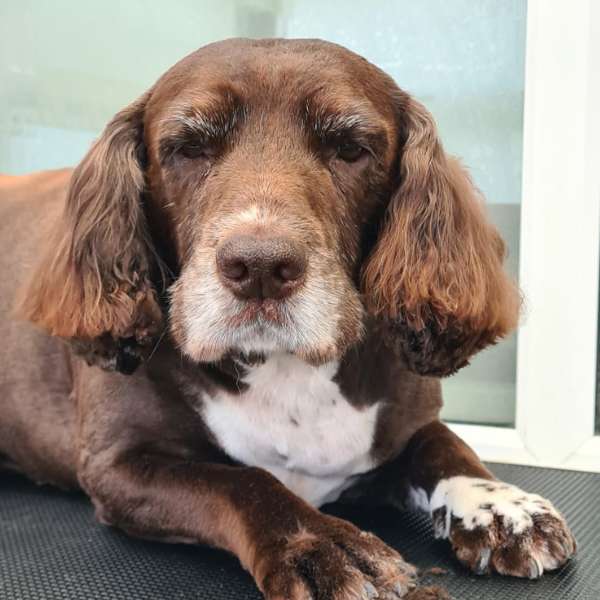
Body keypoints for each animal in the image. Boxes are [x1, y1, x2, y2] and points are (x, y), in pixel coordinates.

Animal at [0, 38, 576, 600]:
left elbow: (445, 444)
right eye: (189, 148)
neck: (283, 366)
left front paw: (501, 505)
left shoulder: (405, 419)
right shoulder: (117, 464)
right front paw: (321, 545)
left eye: (350, 148)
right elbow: (242, 483)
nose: (259, 267)